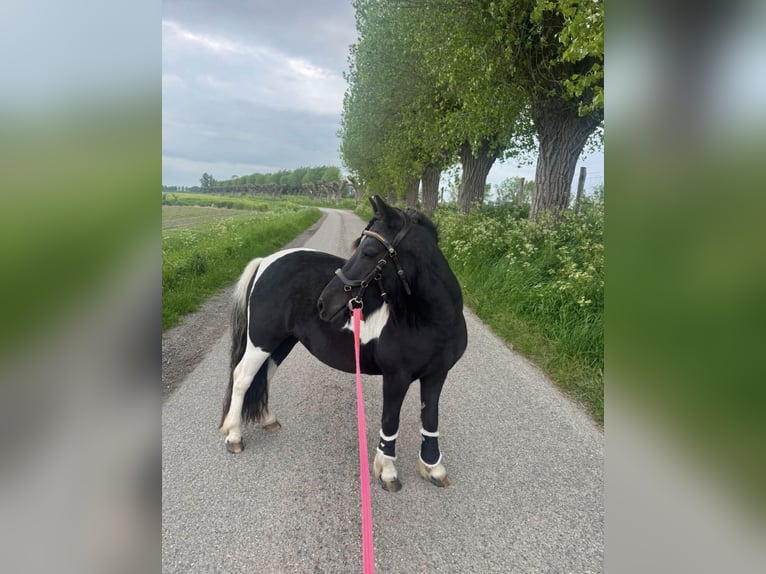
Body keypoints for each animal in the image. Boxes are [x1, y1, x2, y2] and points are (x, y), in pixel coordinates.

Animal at [218, 195, 467, 491]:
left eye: (369, 251)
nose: (324, 304)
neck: (431, 322)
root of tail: (266, 261)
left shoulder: (437, 374)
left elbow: (430, 419)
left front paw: (434, 468)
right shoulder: (396, 377)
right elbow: (390, 420)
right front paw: (387, 472)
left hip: (282, 342)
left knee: (265, 374)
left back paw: (268, 420)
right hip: (262, 340)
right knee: (243, 377)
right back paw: (234, 436)